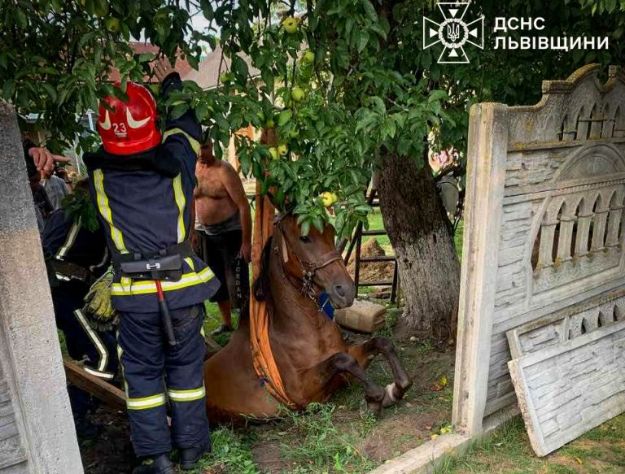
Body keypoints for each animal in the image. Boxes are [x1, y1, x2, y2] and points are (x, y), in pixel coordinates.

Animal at [202, 213, 412, 420]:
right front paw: (375, 398)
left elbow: (380, 342)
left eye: (331, 232)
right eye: (304, 238)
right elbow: (342, 359)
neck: (309, 329)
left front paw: (396, 388)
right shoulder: (302, 393)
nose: (346, 291)